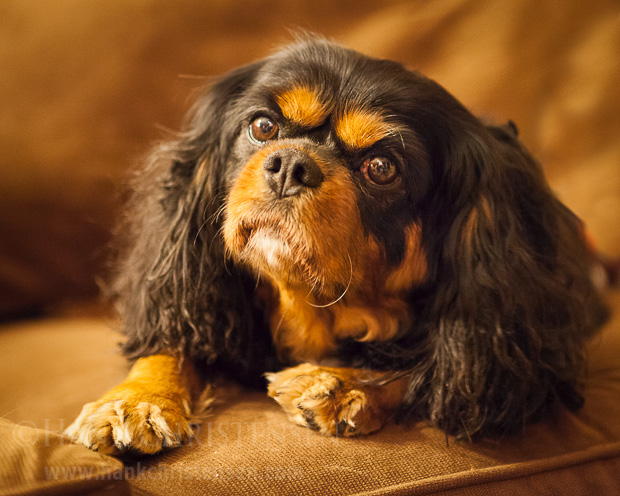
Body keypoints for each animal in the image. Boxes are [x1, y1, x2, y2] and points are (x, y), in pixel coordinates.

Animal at [65, 37, 608, 458]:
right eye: (263, 127)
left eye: (382, 168)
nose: (290, 164)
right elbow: (172, 346)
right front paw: (137, 401)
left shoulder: (516, 352)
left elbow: (437, 367)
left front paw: (343, 384)